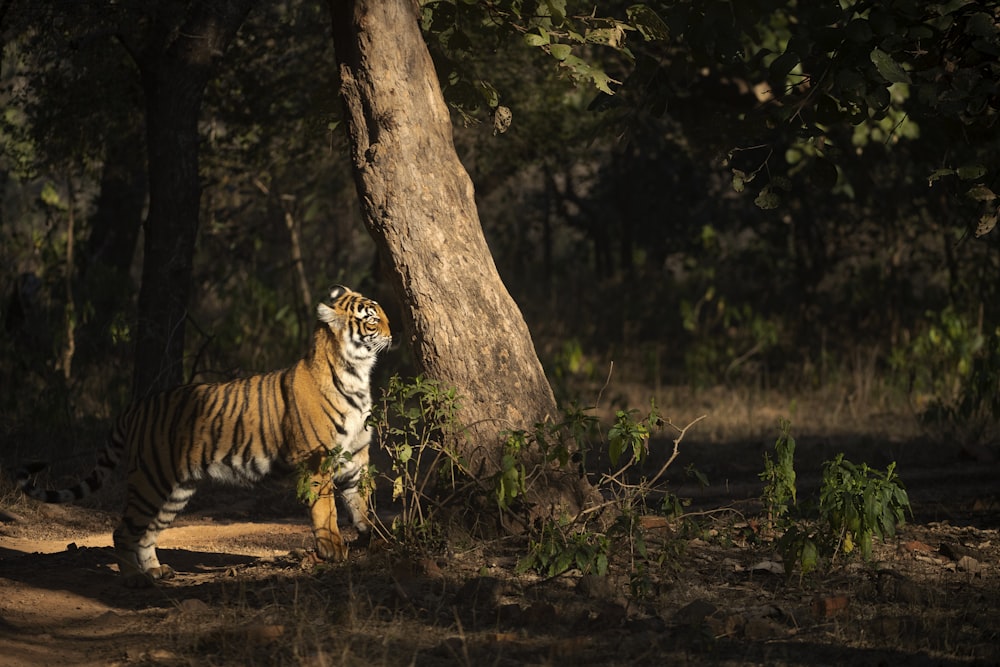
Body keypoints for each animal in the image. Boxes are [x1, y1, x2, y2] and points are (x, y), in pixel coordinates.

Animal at [16, 284, 390, 588]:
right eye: (372, 320)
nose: (392, 333)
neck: (357, 376)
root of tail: (136, 406)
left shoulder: (356, 457)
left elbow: (362, 503)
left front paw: (378, 539)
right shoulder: (317, 459)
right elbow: (326, 509)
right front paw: (332, 549)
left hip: (175, 489)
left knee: (148, 532)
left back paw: (156, 571)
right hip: (150, 479)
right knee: (123, 530)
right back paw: (134, 578)